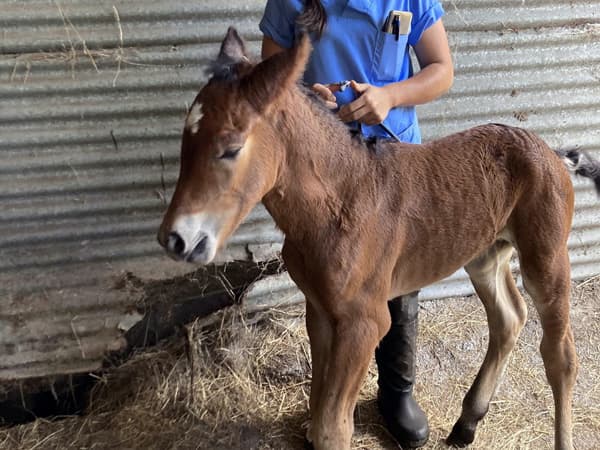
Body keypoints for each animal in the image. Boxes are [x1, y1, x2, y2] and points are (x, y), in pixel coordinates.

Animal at [158, 29, 600, 450]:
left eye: (230, 148)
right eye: (184, 142)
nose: (175, 239)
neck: (339, 201)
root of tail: (552, 153)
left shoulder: (365, 321)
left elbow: (333, 430)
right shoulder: (320, 308)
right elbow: (319, 411)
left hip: (546, 256)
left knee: (560, 355)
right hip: (485, 254)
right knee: (509, 317)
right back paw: (466, 425)